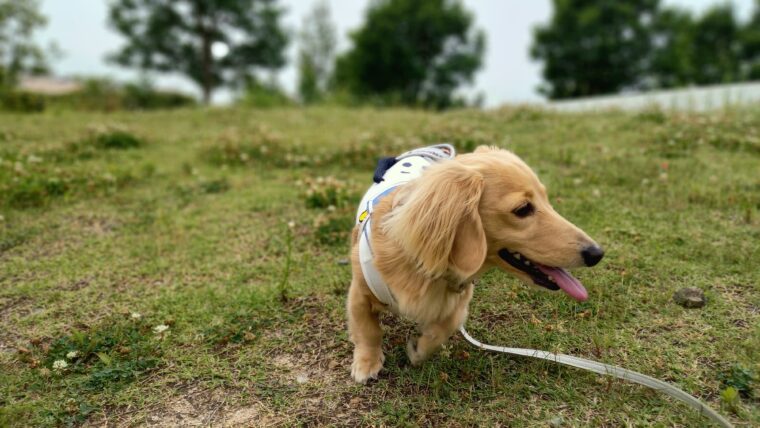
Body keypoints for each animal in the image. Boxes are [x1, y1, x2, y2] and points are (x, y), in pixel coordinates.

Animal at [348, 145, 604, 382]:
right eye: (523, 209)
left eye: (548, 201)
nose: (597, 253)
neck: (421, 264)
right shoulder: (359, 293)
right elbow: (368, 331)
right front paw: (367, 364)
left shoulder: (459, 298)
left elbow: (445, 326)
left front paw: (419, 350)